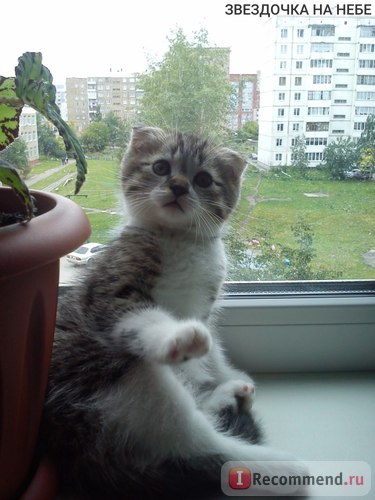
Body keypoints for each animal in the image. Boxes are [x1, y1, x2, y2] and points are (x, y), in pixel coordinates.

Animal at [41, 127, 306, 498]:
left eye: (204, 179)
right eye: (161, 167)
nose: (179, 185)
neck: (180, 239)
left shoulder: (205, 306)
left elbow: (212, 354)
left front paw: (224, 374)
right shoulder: (112, 289)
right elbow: (138, 315)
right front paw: (178, 335)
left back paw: (227, 394)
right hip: (124, 378)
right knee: (196, 443)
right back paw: (278, 466)